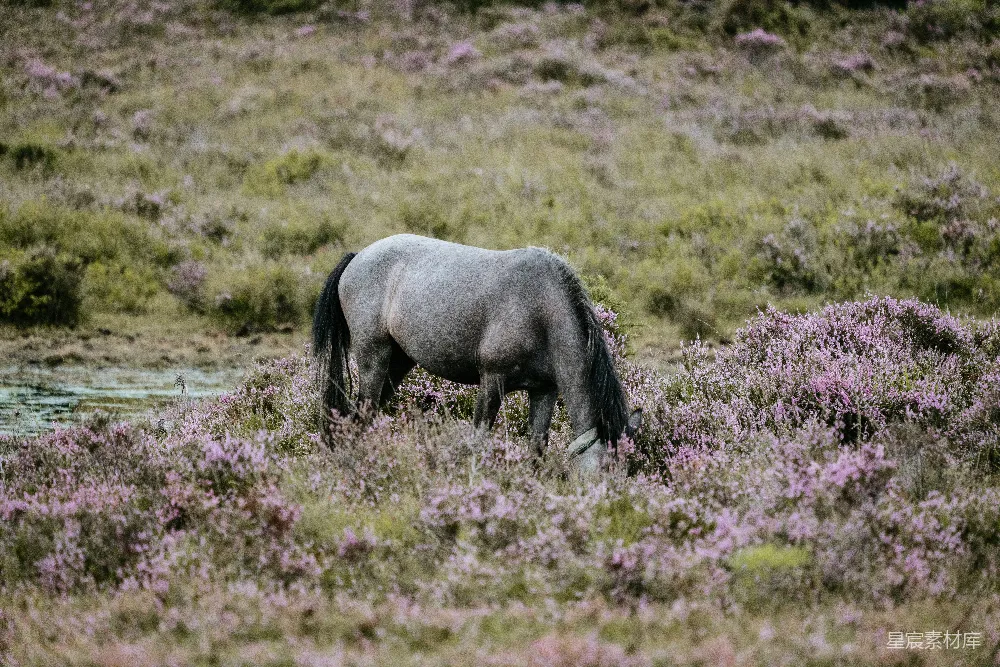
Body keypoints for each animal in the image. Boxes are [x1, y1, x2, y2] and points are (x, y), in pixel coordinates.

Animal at [312, 234, 641, 474]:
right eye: (604, 469)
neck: (541, 310)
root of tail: (358, 257)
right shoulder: (492, 381)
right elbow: (478, 439)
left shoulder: (544, 391)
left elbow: (536, 448)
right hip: (373, 357)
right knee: (360, 416)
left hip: (398, 363)